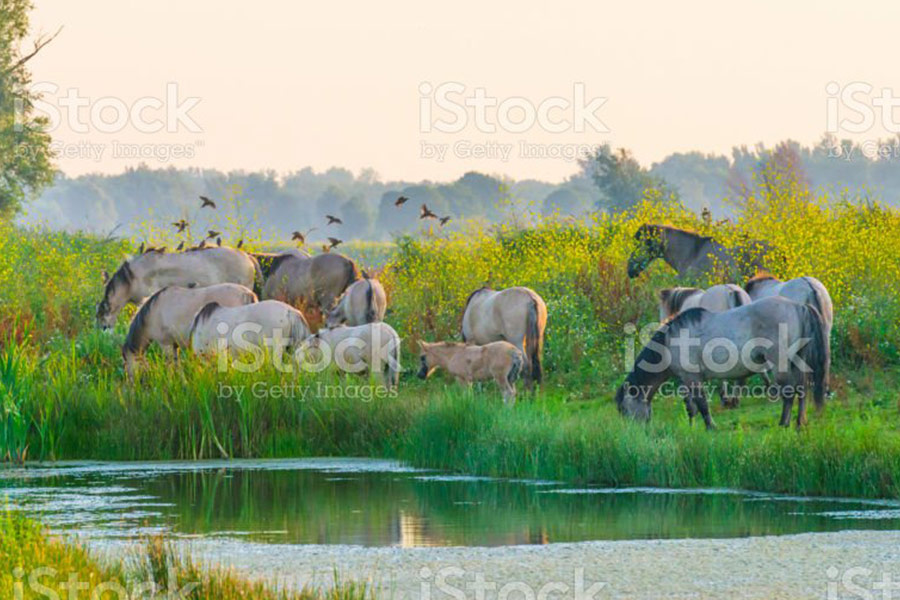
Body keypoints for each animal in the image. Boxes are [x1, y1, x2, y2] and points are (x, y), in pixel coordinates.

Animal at [122, 283, 257, 378]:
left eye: (127, 362)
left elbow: (171, 366)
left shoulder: (166, 344)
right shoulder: (174, 345)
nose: (131, 384)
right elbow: (177, 364)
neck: (153, 313)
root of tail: (247, 294)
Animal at [615, 296, 830, 429]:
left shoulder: (692, 378)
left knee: (789, 392)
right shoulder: (685, 380)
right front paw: (691, 427)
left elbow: (702, 404)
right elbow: (690, 406)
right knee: (802, 389)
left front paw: (710, 427)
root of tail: (798, 306)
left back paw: (784, 423)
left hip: (781, 364)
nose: (632, 433)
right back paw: (800, 422)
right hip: (797, 361)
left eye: (624, 410)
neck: (671, 341)